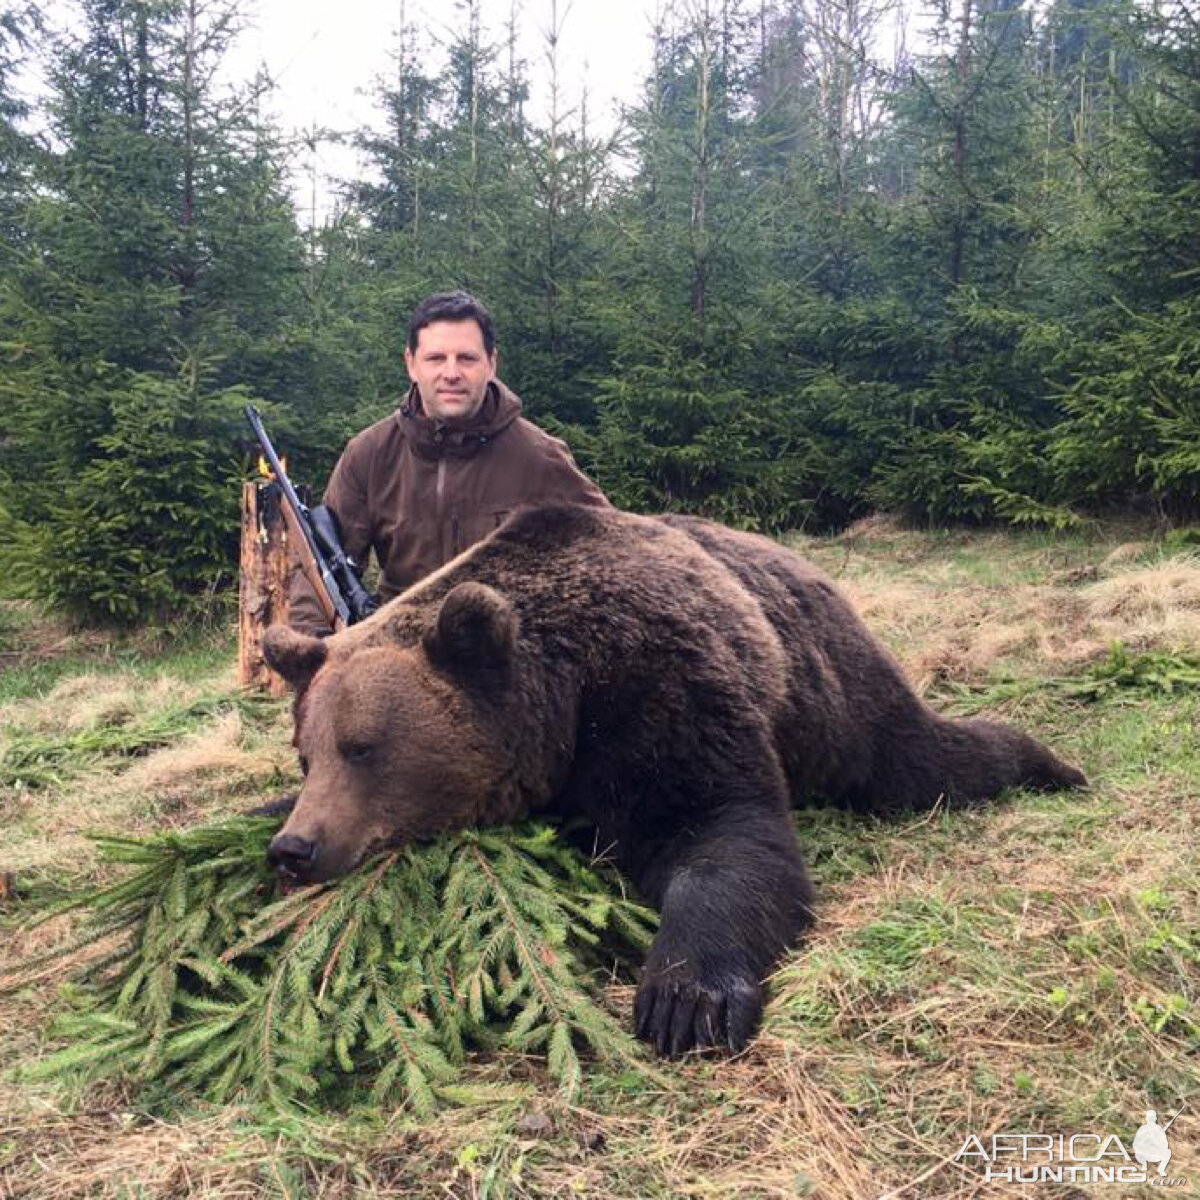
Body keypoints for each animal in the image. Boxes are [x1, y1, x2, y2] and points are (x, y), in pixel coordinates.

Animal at [262, 506, 1089, 1060]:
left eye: (363, 747)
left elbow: (719, 833)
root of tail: (809, 566)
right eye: (308, 755)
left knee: (914, 760)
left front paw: (686, 1000)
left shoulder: (658, 686)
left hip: (830, 688)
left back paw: (1052, 765)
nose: (296, 848)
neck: (563, 696)